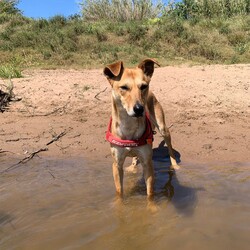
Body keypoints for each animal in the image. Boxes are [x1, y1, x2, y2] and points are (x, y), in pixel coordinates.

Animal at [103, 58, 180, 197]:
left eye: (143, 86)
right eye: (124, 87)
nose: (139, 109)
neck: (128, 125)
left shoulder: (147, 163)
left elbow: (150, 194)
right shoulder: (117, 165)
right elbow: (119, 192)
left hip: (163, 128)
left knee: (170, 149)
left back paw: (175, 165)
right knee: (134, 157)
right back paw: (133, 167)